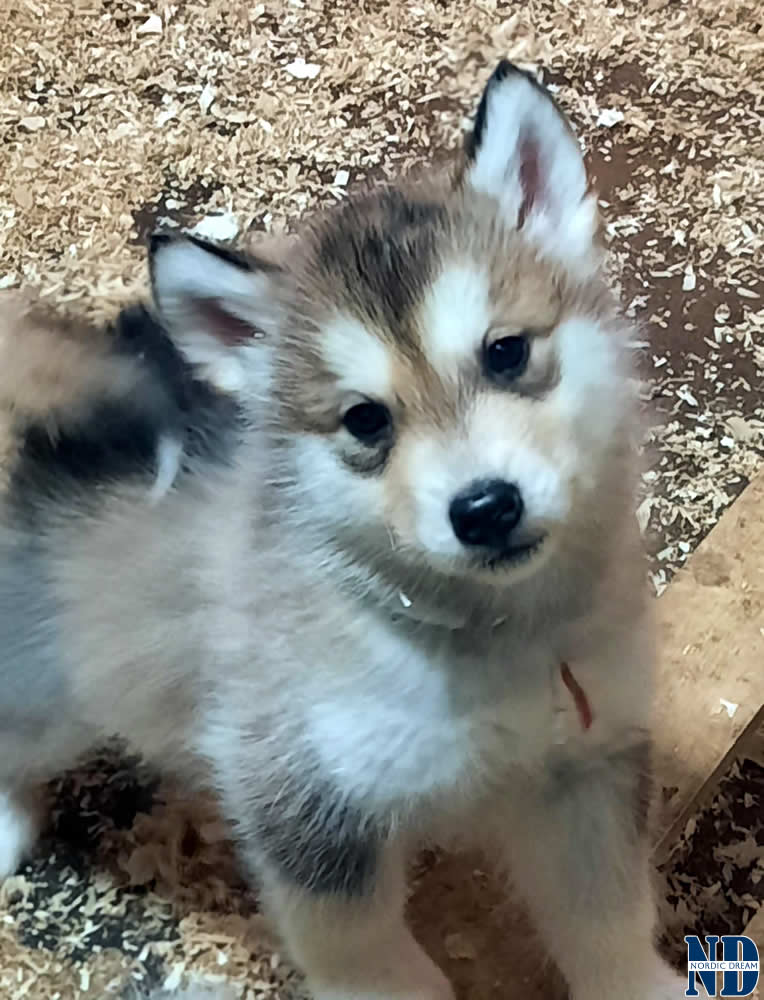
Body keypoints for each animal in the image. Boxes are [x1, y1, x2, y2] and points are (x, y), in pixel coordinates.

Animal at [0, 64, 684, 1000]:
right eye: (365, 420)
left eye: (506, 352)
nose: (485, 509)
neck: (490, 639)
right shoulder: (306, 809)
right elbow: (371, 960)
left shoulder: (586, 770)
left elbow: (608, 921)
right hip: (53, 689)